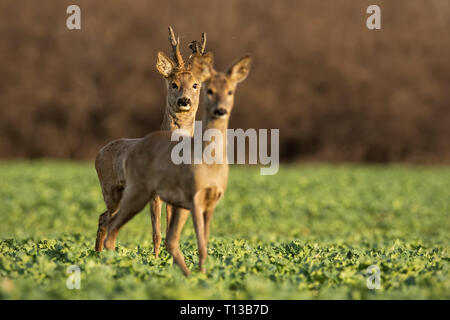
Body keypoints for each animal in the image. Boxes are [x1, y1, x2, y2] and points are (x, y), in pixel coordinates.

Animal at [93, 27, 213, 258]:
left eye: (195, 85)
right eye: (174, 84)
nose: (184, 100)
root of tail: (99, 152)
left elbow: (170, 230)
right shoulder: (153, 190)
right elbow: (156, 232)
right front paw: (155, 260)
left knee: (106, 218)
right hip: (109, 187)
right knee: (105, 219)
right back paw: (100, 255)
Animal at [102, 55, 253, 276]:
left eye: (230, 91)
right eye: (209, 90)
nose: (220, 110)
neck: (210, 165)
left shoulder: (210, 201)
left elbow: (203, 240)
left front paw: (203, 274)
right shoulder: (193, 197)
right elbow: (194, 242)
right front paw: (200, 275)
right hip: (136, 191)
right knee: (112, 225)